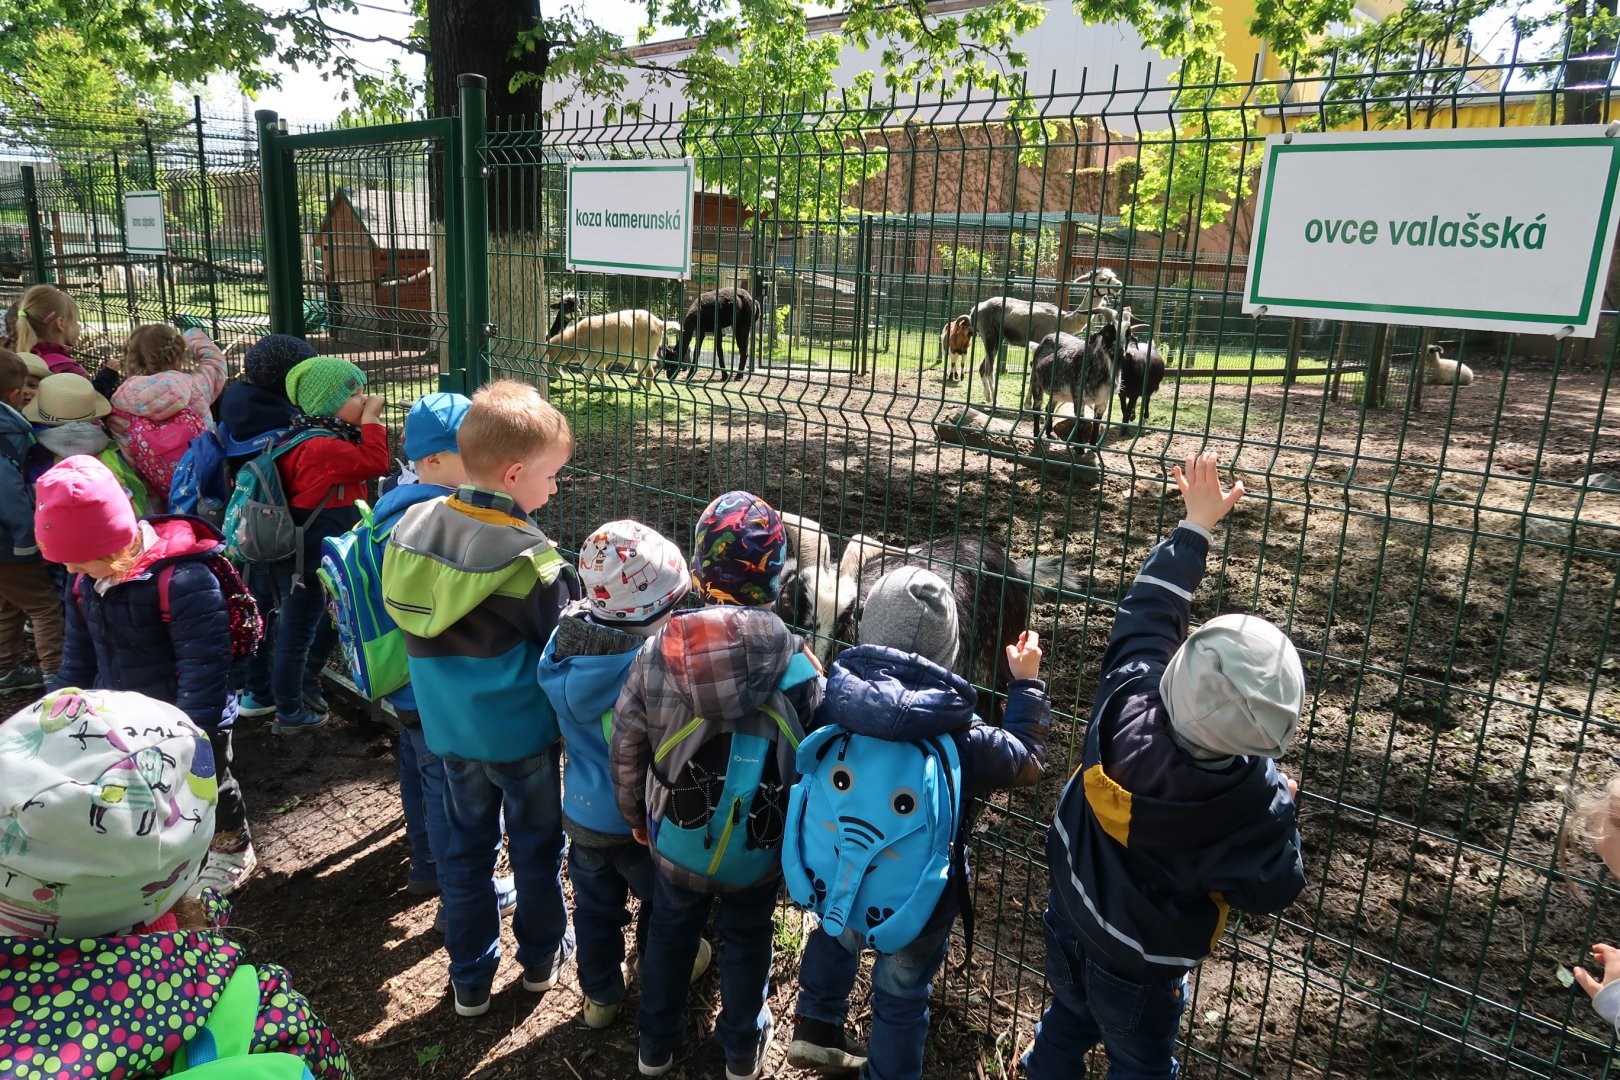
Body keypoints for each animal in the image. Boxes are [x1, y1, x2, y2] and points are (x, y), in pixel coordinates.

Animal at [542, 309, 678, 391]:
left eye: (548, 358)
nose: (552, 380)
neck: (575, 339)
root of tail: (660, 323)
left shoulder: (590, 359)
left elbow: (588, 374)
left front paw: (584, 389)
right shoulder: (600, 360)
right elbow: (601, 373)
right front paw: (604, 385)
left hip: (646, 352)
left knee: (649, 372)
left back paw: (647, 391)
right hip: (639, 356)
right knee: (641, 372)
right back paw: (635, 387)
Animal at [971, 268, 1122, 402]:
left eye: (1113, 275)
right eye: (1102, 279)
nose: (1119, 285)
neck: (1065, 320)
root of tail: (976, 308)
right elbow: (1033, 371)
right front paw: (1028, 403)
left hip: (995, 339)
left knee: (982, 368)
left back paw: (988, 397)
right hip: (989, 336)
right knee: (989, 370)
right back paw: (996, 400)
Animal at [1028, 308, 1119, 446]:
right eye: (1107, 333)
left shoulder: (1104, 401)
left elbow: (1097, 420)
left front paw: (1093, 445)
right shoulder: (1078, 396)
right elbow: (1080, 421)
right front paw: (1079, 446)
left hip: (1056, 392)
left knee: (1049, 407)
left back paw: (1049, 433)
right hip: (1036, 383)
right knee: (1037, 407)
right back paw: (1036, 434)